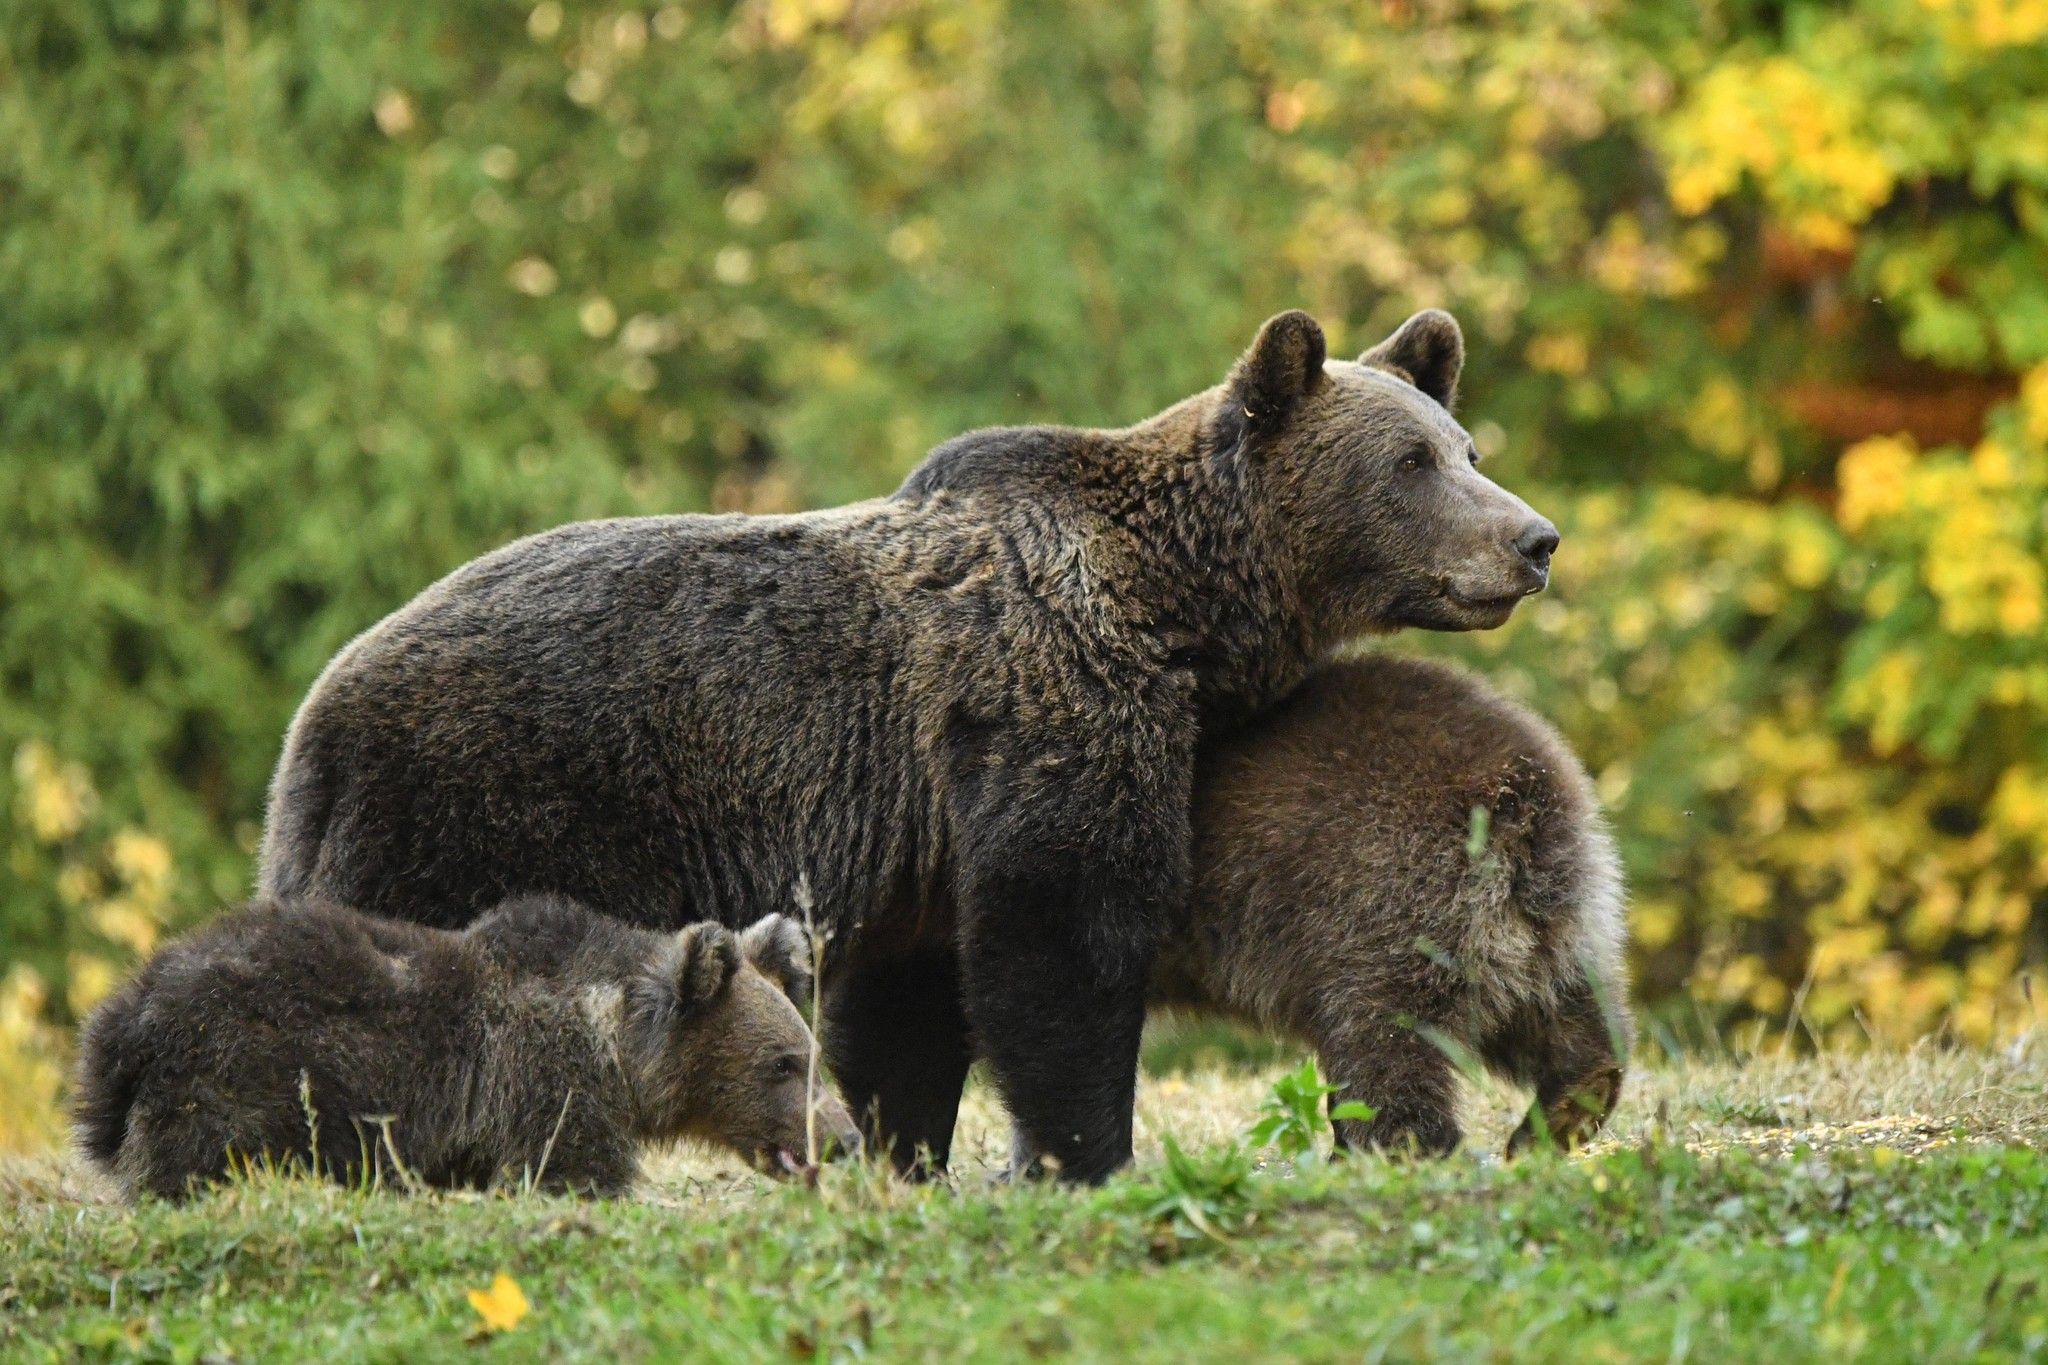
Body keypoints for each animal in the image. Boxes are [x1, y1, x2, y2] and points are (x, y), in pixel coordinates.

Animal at [68, 896, 843, 1195]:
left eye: (811, 1056)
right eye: (783, 1062)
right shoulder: (548, 1084)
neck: (621, 1043)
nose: (846, 1136)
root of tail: (121, 1016)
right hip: (230, 1077)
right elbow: (574, 1167)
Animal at [256, 304, 1548, 1178]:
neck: (1181, 608)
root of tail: (315, 718)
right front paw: (1083, 1151)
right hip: (475, 804)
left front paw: (899, 1146)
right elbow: (1062, 937)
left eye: (1466, 448)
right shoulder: (1041, 706)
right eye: (1409, 462)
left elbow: (909, 1003)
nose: (1531, 540)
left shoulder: (915, 822)